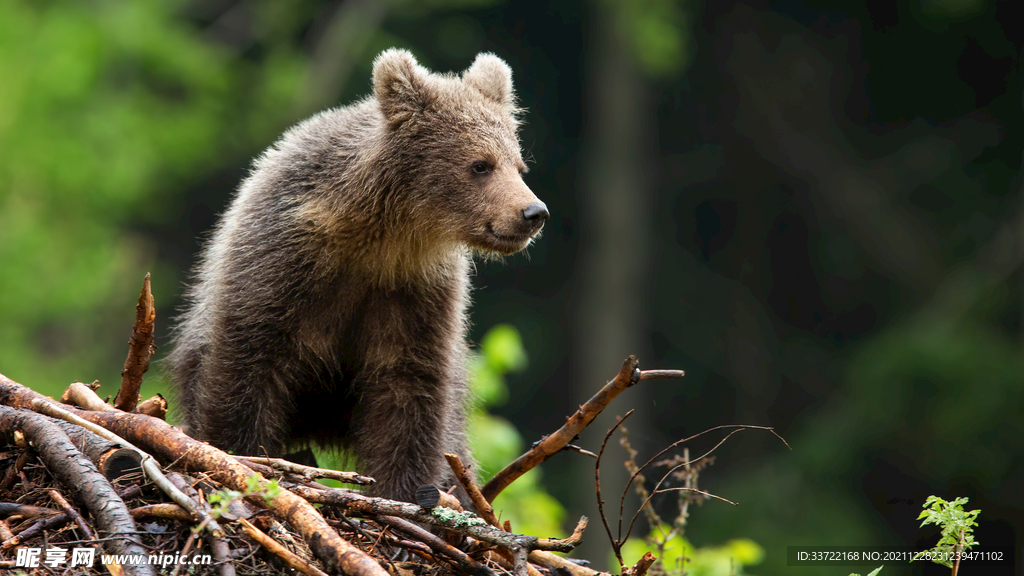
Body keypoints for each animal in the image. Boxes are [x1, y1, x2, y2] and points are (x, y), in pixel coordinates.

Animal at [167, 49, 547, 506]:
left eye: (519, 164)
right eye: (480, 164)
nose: (533, 212)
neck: (380, 236)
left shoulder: (412, 293)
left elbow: (407, 391)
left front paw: (408, 490)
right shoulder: (283, 265)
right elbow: (248, 364)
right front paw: (235, 453)